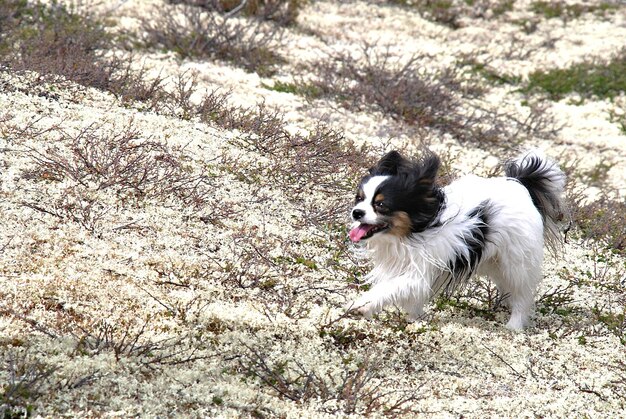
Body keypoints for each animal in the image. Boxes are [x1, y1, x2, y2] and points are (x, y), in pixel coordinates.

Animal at [348, 149, 564, 330]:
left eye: (381, 205)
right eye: (359, 199)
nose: (356, 212)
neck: (413, 232)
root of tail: (520, 183)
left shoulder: (418, 273)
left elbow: (388, 288)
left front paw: (361, 305)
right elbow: (410, 298)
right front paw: (417, 320)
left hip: (516, 265)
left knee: (522, 296)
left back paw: (514, 326)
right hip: (496, 263)